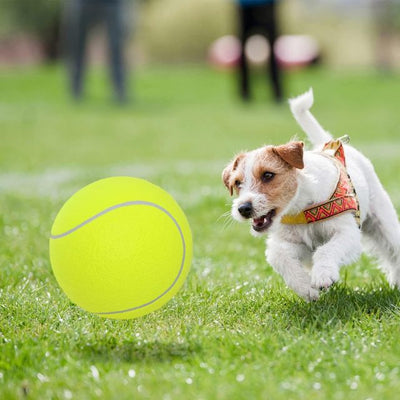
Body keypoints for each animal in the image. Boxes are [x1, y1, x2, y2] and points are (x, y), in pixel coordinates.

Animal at [222, 87, 400, 300]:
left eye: (268, 175)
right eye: (237, 183)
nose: (243, 208)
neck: (302, 208)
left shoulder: (347, 233)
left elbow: (326, 250)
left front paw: (323, 275)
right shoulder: (295, 244)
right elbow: (278, 256)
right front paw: (305, 287)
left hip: (383, 222)